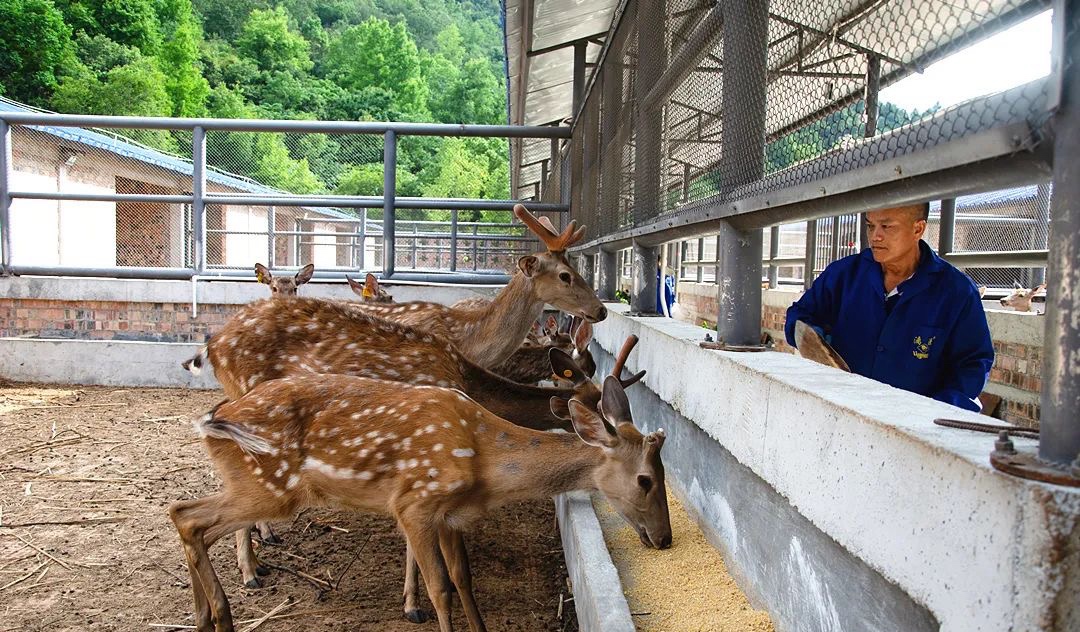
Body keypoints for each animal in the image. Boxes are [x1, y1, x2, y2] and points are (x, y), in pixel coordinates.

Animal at [168, 367, 665, 626]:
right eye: (645, 480)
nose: (664, 539)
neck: (482, 463)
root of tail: (211, 418)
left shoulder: (450, 515)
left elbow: (464, 579)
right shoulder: (415, 503)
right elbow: (440, 588)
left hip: (253, 485)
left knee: (186, 517)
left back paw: (203, 617)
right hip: (271, 486)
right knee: (186, 515)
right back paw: (224, 613)